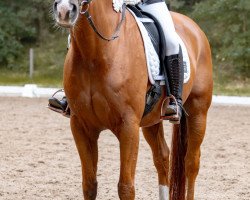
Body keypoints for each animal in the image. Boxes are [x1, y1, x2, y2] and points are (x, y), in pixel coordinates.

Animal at [52, 0, 213, 200]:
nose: (64, 11)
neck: (96, 52)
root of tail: (193, 27)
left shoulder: (128, 126)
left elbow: (126, 187)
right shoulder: (81, 126)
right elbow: (89, 185)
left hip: (198, 111)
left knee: (191, 162)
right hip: (152, 120)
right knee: (162, 157)